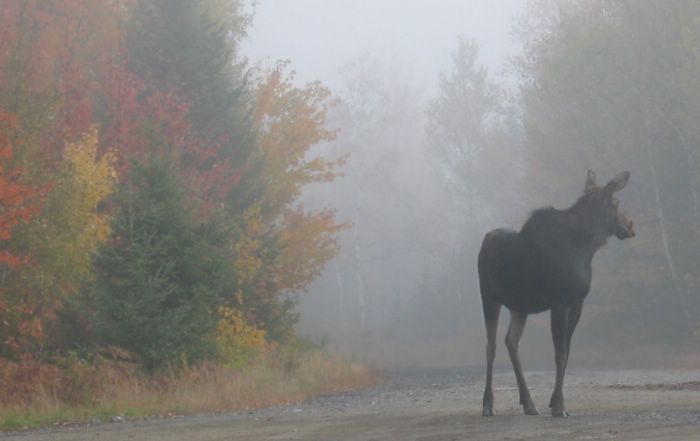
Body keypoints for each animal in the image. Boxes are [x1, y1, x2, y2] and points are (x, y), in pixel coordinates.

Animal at [476, 170, 636, 418]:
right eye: (616, 201)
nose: (630, 226)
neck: (586, 248)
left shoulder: (577, 303)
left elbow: (567, 351)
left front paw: (554, 403)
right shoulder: (558, 302)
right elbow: (559, 352)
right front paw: (559, 406)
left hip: (519, 306)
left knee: (511, 341)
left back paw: (529, 403)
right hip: (489, 297)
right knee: (490, 346)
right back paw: (487, 404)